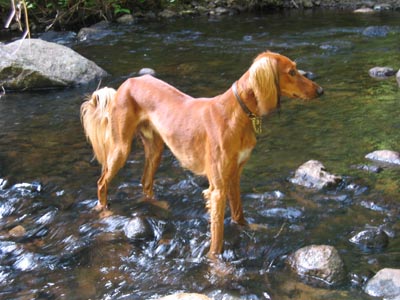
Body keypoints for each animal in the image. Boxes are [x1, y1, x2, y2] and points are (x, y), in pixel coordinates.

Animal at [80, 51, 322, 258]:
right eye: (291, 72)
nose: (321, 91)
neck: (237, 113)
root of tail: (127, 83)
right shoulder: (217, 189)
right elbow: (217, 237)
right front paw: (216, 263)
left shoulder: (234, 175)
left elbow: (238, 213)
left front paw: (248, 228)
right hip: (120, 148)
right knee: (102, 182)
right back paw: (105, 212)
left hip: (156, 149)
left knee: (145, 182)